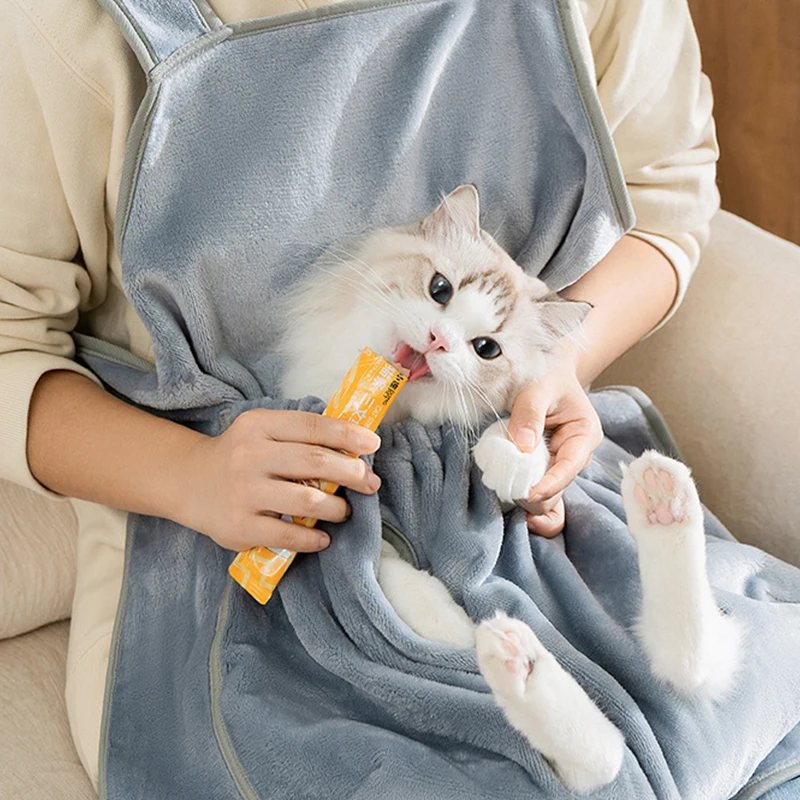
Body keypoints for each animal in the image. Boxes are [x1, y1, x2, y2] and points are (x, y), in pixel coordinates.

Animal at [280, 186, 742, 793]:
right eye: (440, 289)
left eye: (485, 348)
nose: (437, 341)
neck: (399, 422)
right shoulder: (357, 519)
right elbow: (397, 577)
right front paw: (445, 619)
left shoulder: (512, 431)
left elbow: (520, 432)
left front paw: (510, 458)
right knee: (610, 747)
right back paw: (511, 653)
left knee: (672, 676)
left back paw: (658, 496)